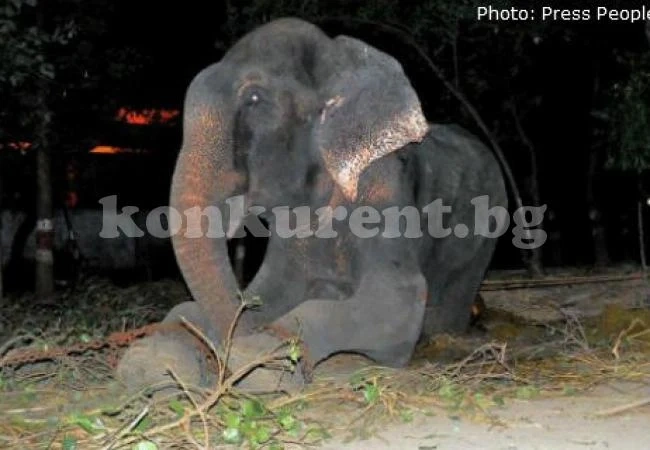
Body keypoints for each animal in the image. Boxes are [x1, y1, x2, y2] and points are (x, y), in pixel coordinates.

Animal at [117, 18, 507, 393]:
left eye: (255, 99)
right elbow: (266, 292)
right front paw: (152, 360)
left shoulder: (382, 184)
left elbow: (397, 300)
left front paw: (261, 362)